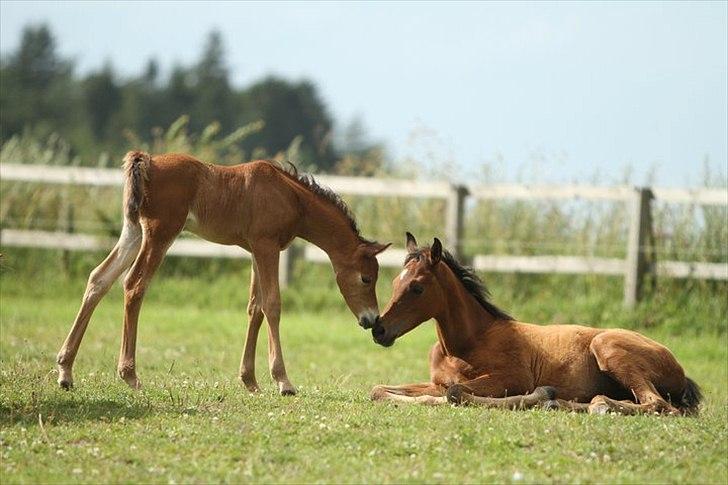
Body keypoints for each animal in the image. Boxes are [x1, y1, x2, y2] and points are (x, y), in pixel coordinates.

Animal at [55, 151, 392, 394]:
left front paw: (250, 381)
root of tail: (146, 160)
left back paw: (65, 371)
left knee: (99, 278)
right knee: (134, 284)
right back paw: (129, 375)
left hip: (133, 231)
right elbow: (273, 304)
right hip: (160, 233)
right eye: (366, 278)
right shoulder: (267, 246)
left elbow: (255, 308)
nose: (370, 319)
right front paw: (283, 381)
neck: (290, 196)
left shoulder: (257, 250)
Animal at [372, 233, 704, 414]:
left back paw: (584, 404)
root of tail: (680, 371)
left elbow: (454, 393)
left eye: (417, 287)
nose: (379, 329)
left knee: (658, 405)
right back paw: (566, 403)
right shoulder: (435, 381)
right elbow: (379, 389)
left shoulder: (512, 378)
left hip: (606, 345)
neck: (466, 343)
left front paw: (539, 395)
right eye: (394, 282)